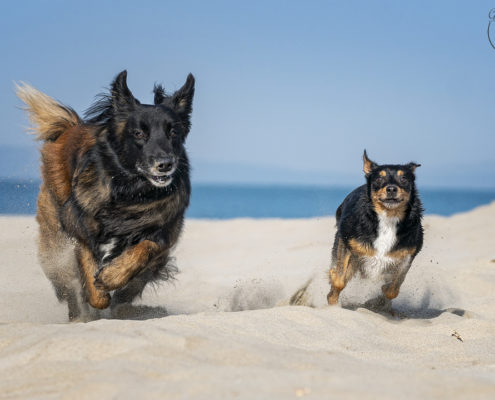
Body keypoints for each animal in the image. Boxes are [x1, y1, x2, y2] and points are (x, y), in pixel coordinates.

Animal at [16, 70, 194, 320]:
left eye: (173, 132)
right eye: (139, 133)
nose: (166, 164)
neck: (131, 193)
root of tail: (72, 127)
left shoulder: (165, 233)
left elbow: (145, 250)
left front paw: (112, 277)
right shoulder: (78, 223)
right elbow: (88, 268)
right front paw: (98, 293)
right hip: (54, 239)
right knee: (67, 287)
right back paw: (80, 316)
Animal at [328, 152, 424, 308]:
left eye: (404, 178)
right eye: (379, 178)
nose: (391, 189)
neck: (388, 216)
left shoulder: (407, 254)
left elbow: (393, 289)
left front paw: (383, 292)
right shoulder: (347, 241)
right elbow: (339, 280)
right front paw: (333, 280)